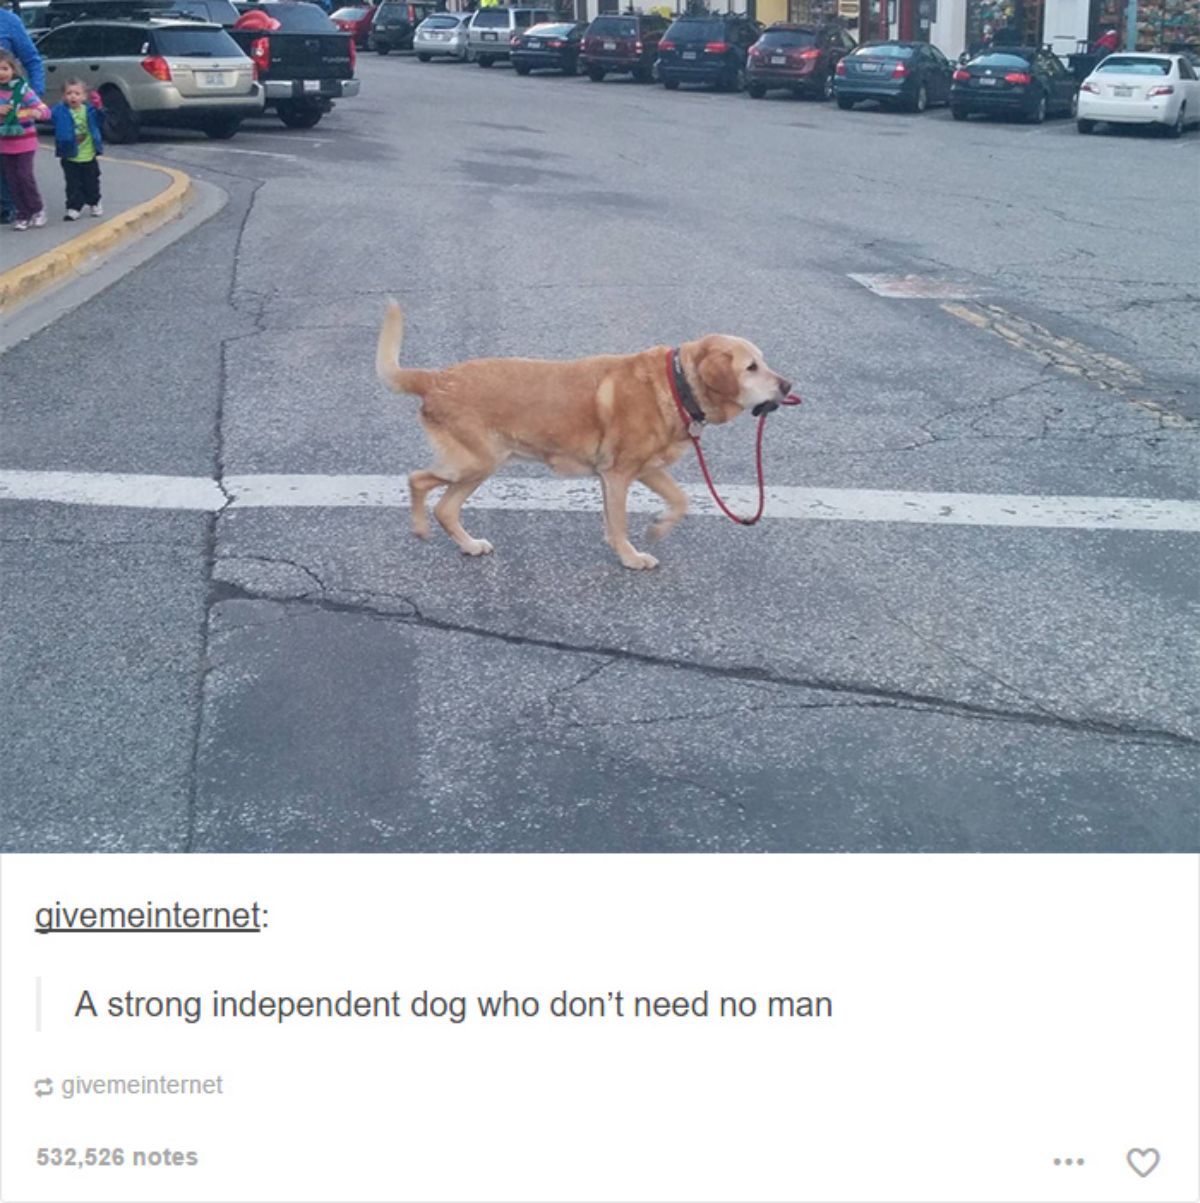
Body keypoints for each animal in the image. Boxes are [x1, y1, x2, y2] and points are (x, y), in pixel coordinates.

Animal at [372, 298, 788, 565]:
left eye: (763, 362)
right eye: (751, 367)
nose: (787, 385)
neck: (677, 384)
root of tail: (436, 379)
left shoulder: (648, 470)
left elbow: (681, 500)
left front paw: (657, 529)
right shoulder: (618, 475)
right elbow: (618, 523)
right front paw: (631, 557)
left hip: (482, 466)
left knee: (445, 507)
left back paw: (469, 545)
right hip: (475, 462)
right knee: (417, 481)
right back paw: (420, 527)